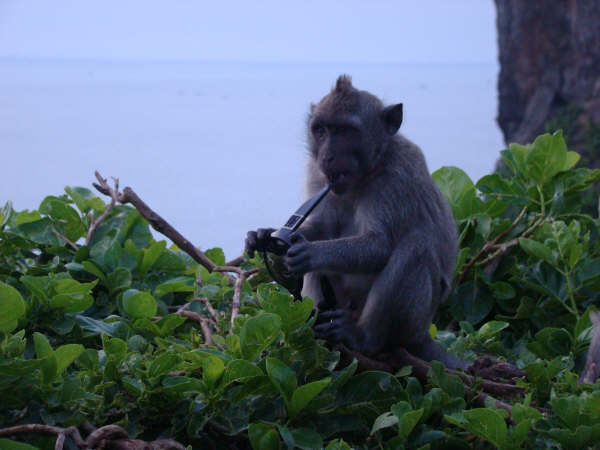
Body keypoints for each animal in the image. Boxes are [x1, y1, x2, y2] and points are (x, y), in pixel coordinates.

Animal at [246, 74, 466, 370]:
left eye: (345, 131)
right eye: (322, 130)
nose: (327, 155)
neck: (368, 171)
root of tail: (422, 334)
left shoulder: (397, 177)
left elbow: (381, 245)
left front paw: (310, 252)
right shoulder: (317, 175)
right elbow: (322, 227)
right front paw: (265, 235)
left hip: (414, 322)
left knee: (415, 248)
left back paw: (364, 337)